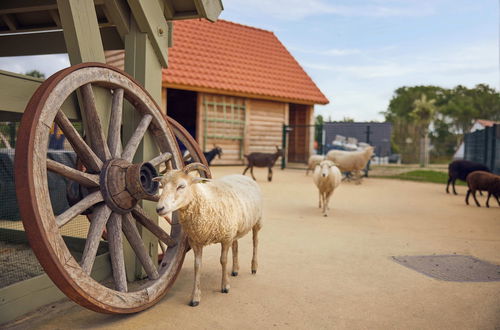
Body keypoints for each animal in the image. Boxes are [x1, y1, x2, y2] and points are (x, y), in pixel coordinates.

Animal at [154, 162, 264, 306]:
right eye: (161, 184)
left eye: (181, 186)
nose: (159, 208)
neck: (206, 200)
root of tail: (243, 176)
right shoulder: (196, 241)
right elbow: (197, 266)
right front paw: (195, 297)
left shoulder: (226, 237)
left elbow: (223, 260)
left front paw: (225, 286)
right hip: (235, 228)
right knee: (236, 246)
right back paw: (235, 269)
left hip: (257, 221)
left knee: (255, 242)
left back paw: (254, 267)